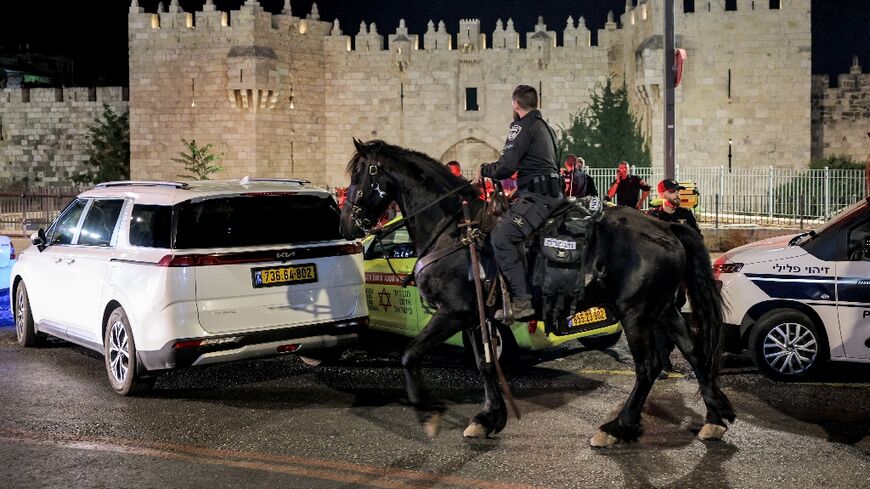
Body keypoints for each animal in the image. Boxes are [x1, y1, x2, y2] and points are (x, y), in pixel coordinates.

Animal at [340, 138, 736, 446]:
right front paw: (489, 417)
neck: (455, 229)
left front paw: (428, 414)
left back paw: (617, 427)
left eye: (363, 173)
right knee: (695, 354)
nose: (346, 224)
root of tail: (667, 228)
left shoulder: (452, 312)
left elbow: (410, 355)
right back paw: (715, 417)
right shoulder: (476, 317)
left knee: (649, 366)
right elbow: (485, 364)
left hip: (636, 314)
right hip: (664, 309)